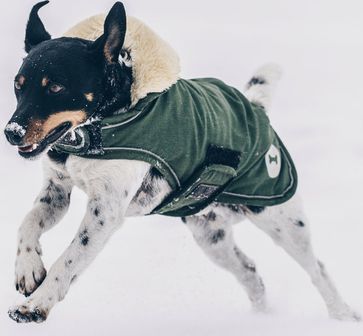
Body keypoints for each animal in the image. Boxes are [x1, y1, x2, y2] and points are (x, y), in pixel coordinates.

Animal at [3, 1, 362, 324]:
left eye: (56, 87)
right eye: (18, 85)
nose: (11, 132)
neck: (95, 131)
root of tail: (256, 108)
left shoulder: (104, 211)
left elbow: (70, 260)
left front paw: (36, 305)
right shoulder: (57, 191)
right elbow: (27, 224)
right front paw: (28, 268)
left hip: (281, 218)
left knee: (317, 269)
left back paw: (342, 315)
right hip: (211, 235)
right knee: (250, 272)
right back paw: (262, 319)